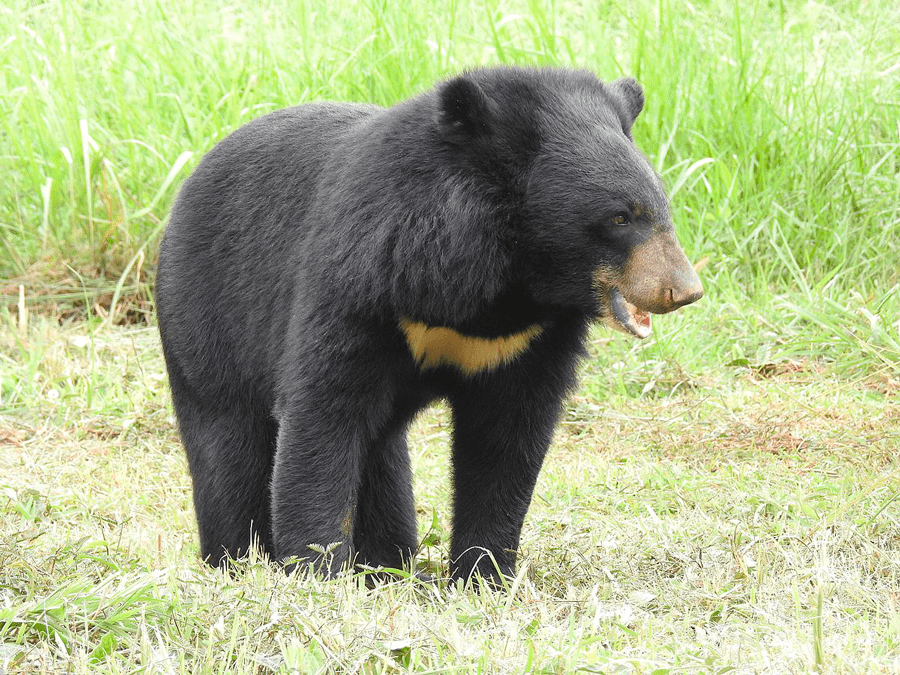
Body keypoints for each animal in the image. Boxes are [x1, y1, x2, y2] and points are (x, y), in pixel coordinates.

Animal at [155, 66, 703, 584]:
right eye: (620, 217)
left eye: (662, 210)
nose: (683, 290)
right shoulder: (364, 278)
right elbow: (323, 411)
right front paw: (315, 572)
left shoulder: (528, 339)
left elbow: (507, 437)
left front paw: (484, 575)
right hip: (207, 319)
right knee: (229, 443)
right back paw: (236, 558)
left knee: (382, 457)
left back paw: (387, 565)